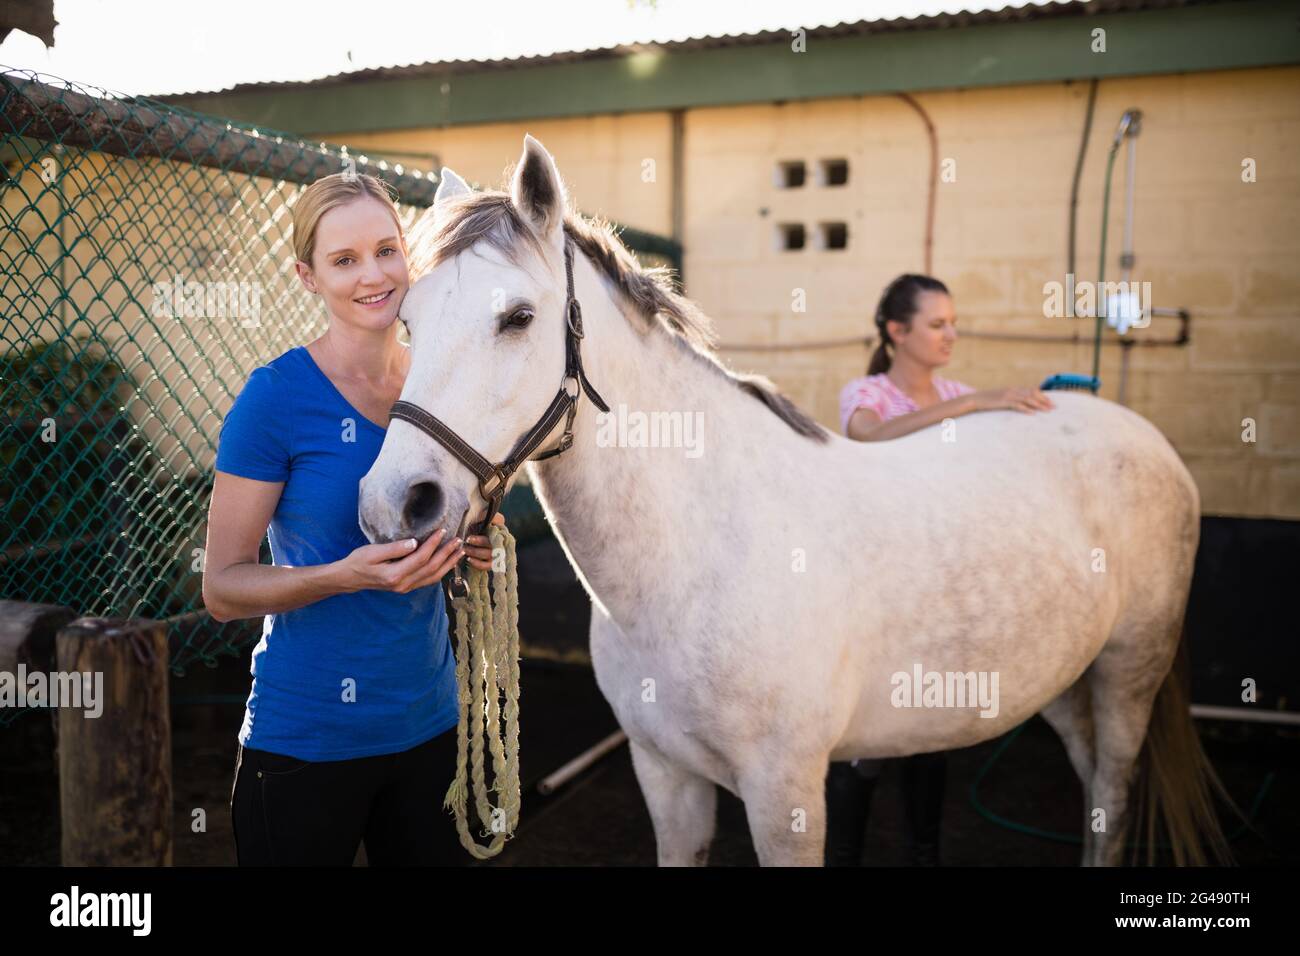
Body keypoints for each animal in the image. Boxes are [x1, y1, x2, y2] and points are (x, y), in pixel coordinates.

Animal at [361, 134, 1232, 868]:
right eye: (406, 319)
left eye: (517, 317)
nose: (395, 505)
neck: (699, 557)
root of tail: (1137, 432)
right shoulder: (666, 778)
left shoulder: (787, 798)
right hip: (1064, 683)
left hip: (1128, 675)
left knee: (1112, 797)